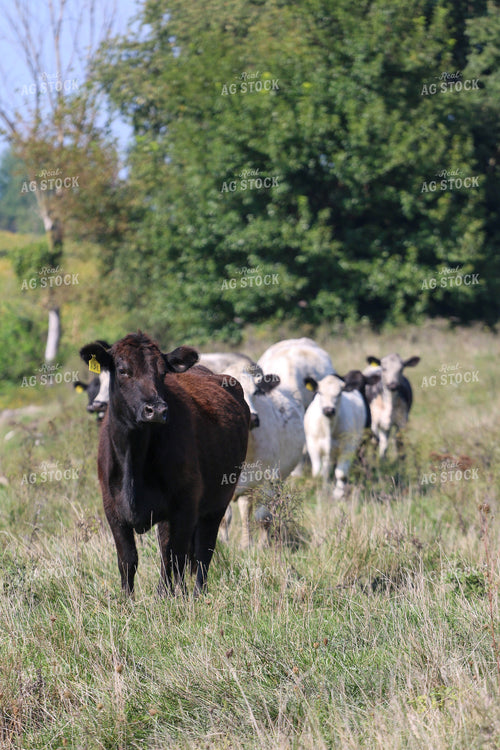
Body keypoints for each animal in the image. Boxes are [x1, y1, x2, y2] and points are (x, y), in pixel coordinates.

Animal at [79, 333, 249, 597]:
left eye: (162, 373)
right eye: (123, 370)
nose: (156, 410)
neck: (134, 458)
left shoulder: (183, 505)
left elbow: (173, 556)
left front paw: (170, 597)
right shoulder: (112, 508)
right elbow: (127, 559)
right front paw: (126, 601)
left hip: (217, 503)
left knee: (203, 551)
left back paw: (198, 593)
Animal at [217, 361, 305, 548]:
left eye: (256, 392)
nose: (253, 417)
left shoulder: (268, 479)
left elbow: (263, 517)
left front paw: (262, 546)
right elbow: (224, 518)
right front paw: (223, 543)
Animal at [303, 370, 380, 499]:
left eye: (339, 393)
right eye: (320, 392)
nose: (328, 410)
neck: (329, 427)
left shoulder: (347, 447)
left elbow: (341, 473)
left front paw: (338, 494)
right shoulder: (313, 445)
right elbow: (318, 473)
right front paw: (320, 492)